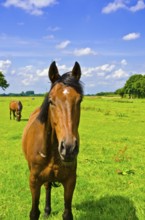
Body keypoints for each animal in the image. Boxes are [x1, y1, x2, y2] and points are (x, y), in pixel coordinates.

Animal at [22, 61, 84, 219]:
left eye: (79, 100)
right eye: (51, 101)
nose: (68, 148)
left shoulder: (70, 181)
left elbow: (67, 213)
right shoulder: (34, 181)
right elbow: (34, 213)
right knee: (47, 186)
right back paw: (47, 211)